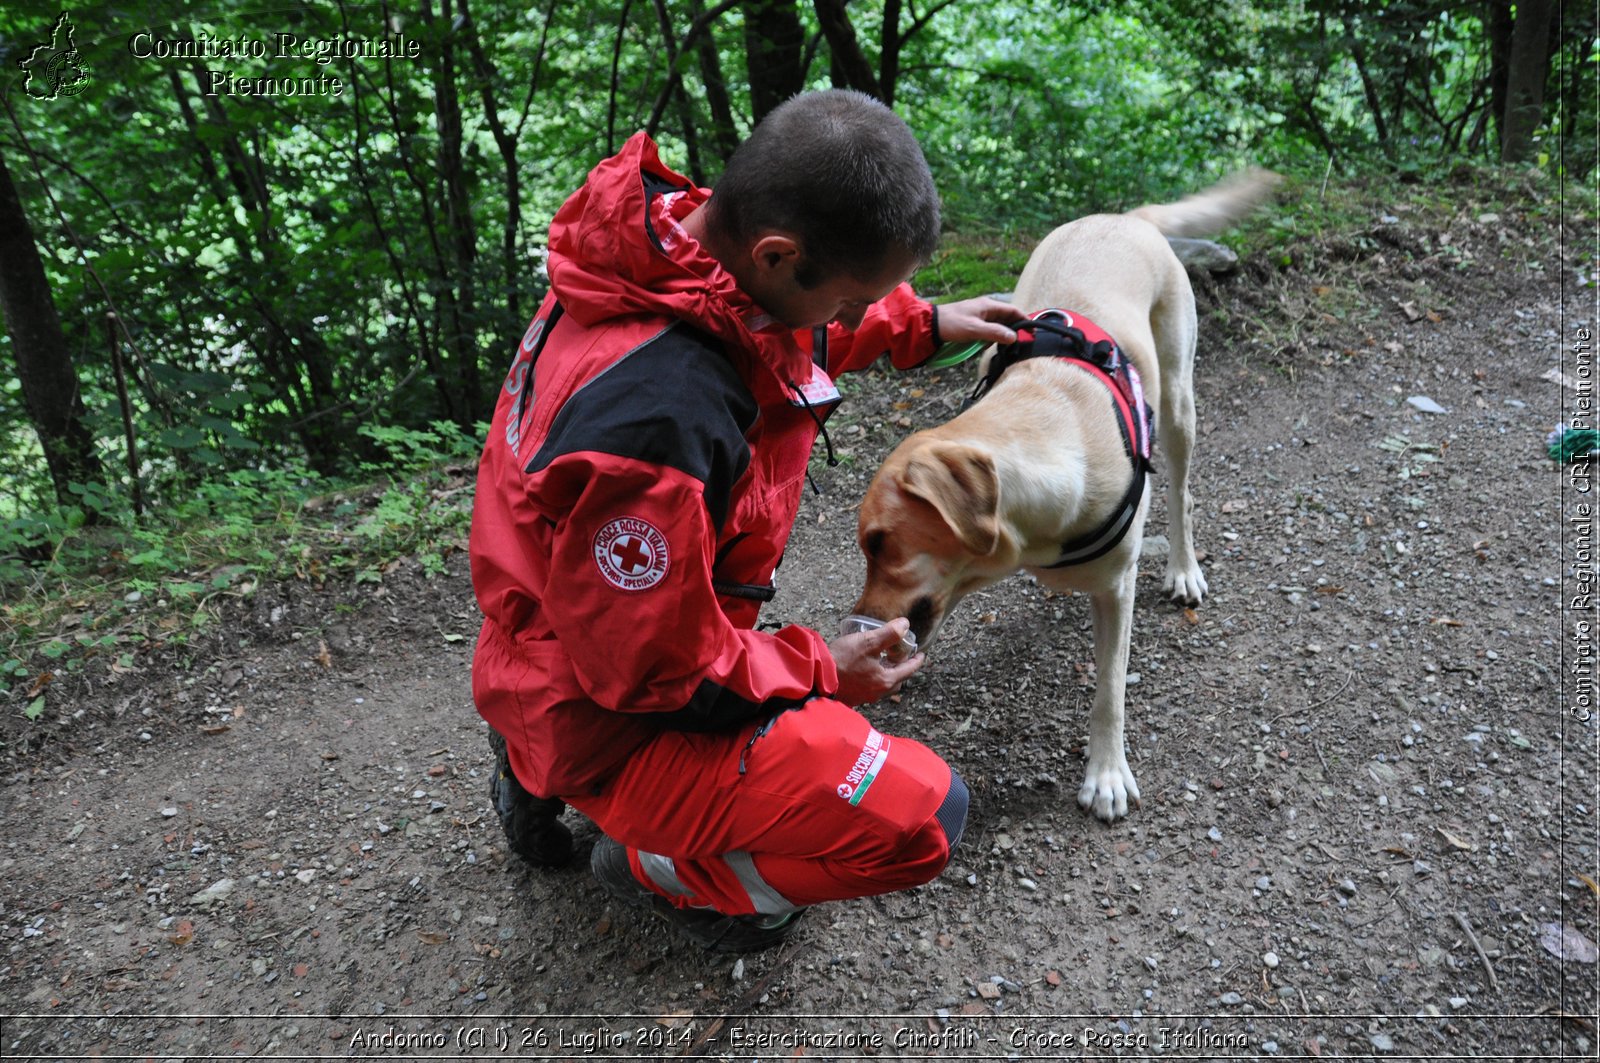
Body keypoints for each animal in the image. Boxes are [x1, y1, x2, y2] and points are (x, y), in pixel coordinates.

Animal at [857, 172, 1280, 819]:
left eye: (879, 543)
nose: (863, 625)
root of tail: (1125, 217)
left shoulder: (1115, 591)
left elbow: (1109, 690)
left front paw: (1105, 774)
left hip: (1179, 404)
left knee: (1181, 494)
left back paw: (1184, 568)